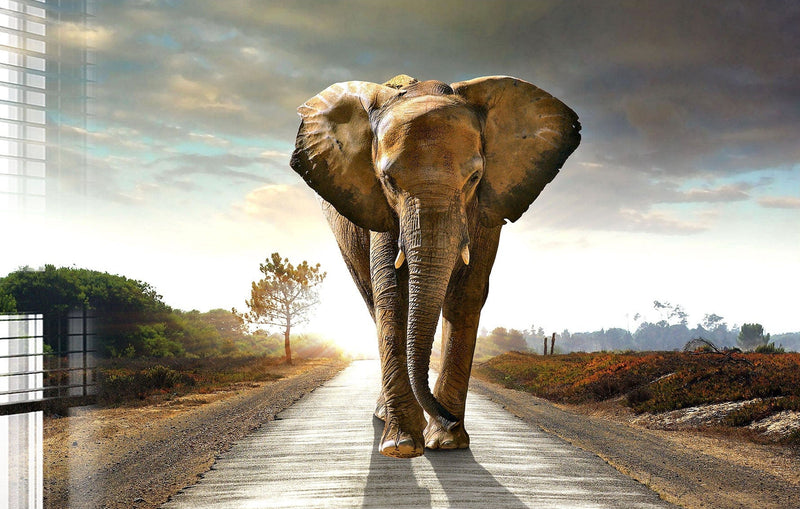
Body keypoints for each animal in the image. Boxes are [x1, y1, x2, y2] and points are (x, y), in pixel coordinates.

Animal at [290, 75, 580, 458]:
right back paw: (386, 417)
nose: (448, 418)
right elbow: (393, 295)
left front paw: (447, 442)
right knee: (372, 299)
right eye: (388, 181)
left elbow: (467, 294)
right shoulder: (380, 208)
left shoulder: (486, 207)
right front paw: (402, 446)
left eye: (474, 178)